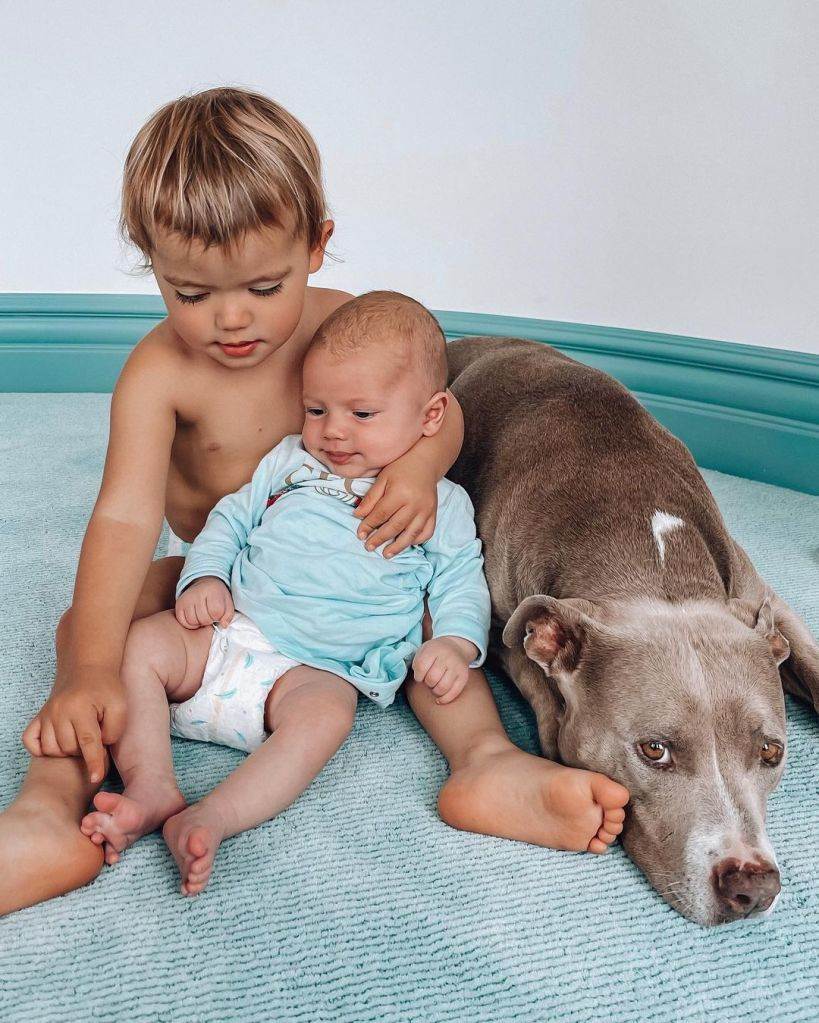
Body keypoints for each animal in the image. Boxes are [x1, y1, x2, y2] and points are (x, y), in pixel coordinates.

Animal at [447, 336, 818, 926]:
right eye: (654, 751)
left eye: (771, 752)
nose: (753, 887)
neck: (653, 562)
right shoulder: (505, 621)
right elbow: (537, 685)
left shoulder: (766, 601)